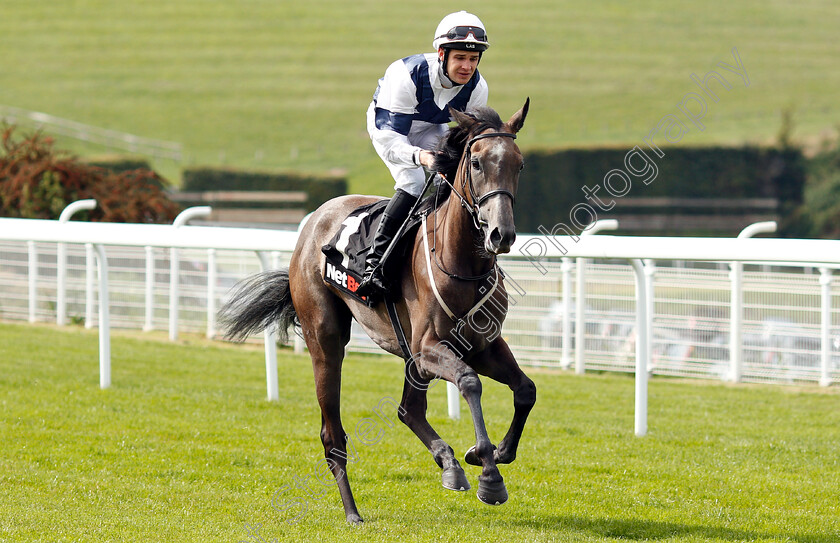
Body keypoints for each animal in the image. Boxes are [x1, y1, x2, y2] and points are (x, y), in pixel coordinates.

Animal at [221, 100, 540, 524]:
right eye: (475, 162)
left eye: (519, 164)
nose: (500, 235)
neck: (462, 265)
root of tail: (316, 219)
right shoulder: (428, 348)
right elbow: (470, 383)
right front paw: (489, 474)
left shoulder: (482, 345)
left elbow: (525, 390)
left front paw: (492, 453)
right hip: (326, 339)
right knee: (333, 435)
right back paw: (352, 511)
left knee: (409, 410)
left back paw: (450, 465)